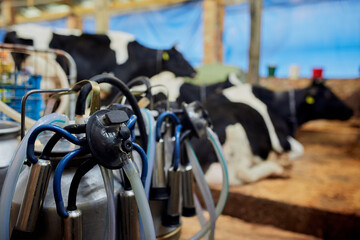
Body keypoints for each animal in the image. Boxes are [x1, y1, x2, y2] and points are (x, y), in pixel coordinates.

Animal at [188, 79, 354, 185]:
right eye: (328, 95)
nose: (350, 110)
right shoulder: (281, 139)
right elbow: (299, 149)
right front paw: (283, 158)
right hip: (236, 133)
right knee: (240, 173)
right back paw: (280, 167)